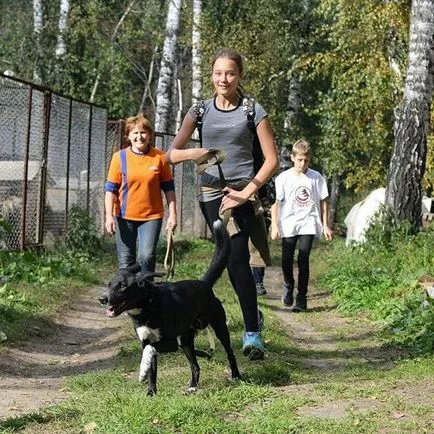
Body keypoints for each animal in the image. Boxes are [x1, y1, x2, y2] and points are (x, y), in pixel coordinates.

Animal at [99, 219, 241, 396]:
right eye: (109, 285)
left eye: (123, 286)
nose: (102, 299)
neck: (148, 306)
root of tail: (204, 284)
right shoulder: (147, 340)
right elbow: (152, 369)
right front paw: (151, 392)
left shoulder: (170, 342)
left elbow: (150, 350)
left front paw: (142, 371)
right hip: (186, 341)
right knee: (195, 365)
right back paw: (192, 386)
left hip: (219, 328)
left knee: (230, 352)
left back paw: (235, 375)